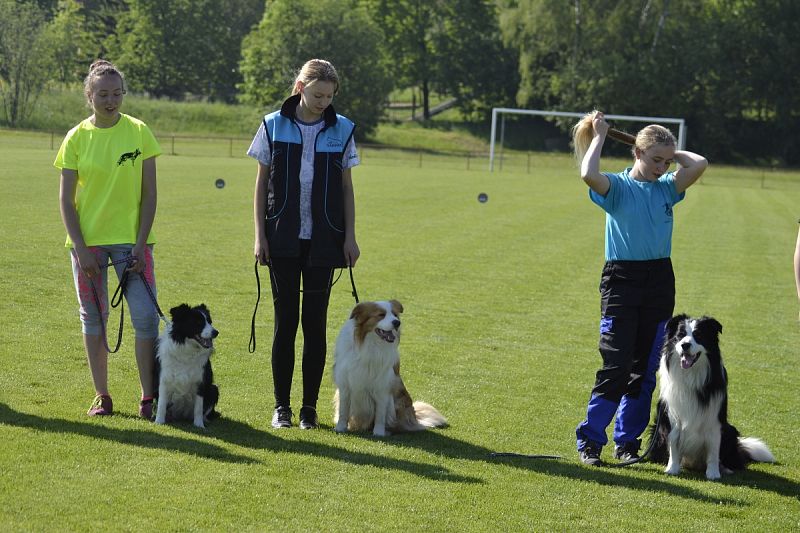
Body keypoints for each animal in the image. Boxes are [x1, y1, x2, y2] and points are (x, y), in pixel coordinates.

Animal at [330, 300, 444, 436]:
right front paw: (340, 427)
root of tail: (415, 418)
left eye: (395, 314)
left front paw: (379, 433)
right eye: (381, 315)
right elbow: (343, 410)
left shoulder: (382, 386)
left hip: (398, 401)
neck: (370, 345)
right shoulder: (345, 384)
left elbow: (380, 413)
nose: (397, 323)